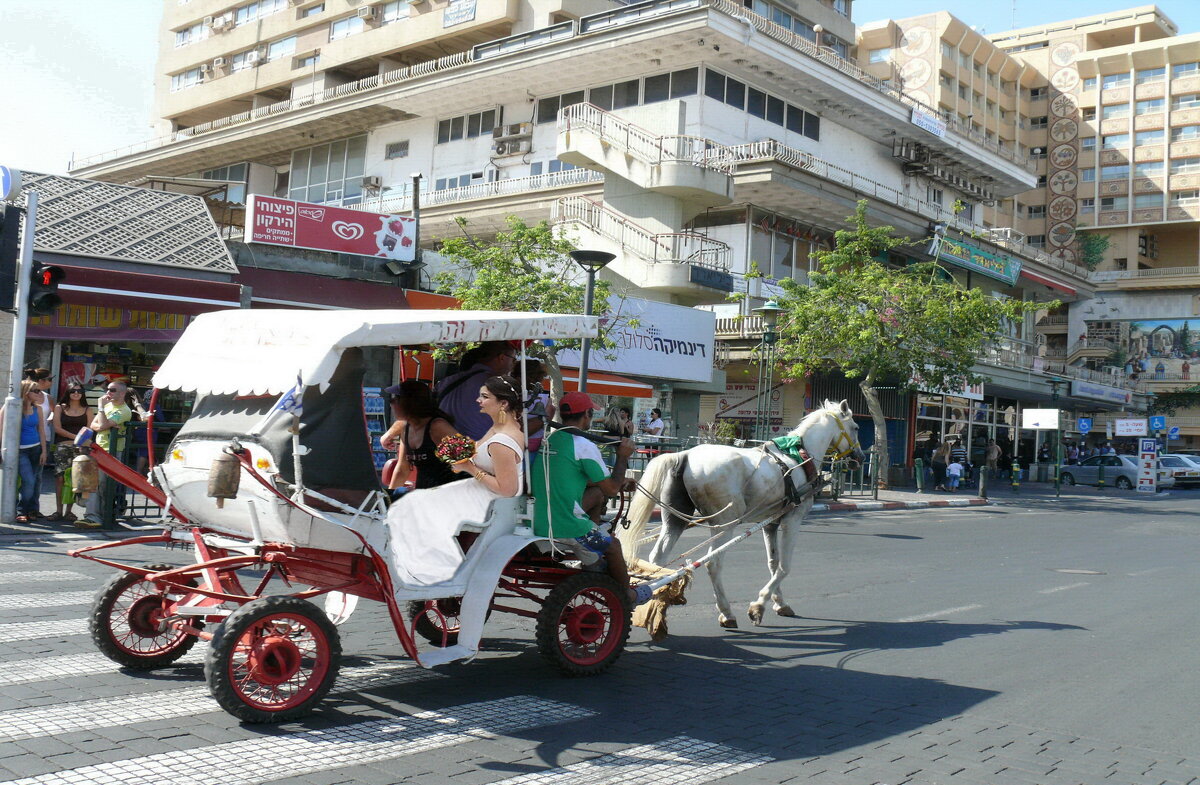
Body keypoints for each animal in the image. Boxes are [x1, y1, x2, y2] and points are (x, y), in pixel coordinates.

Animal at [619, 403, 864, 628]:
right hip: (724, 523)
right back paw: (726, 613)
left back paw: (655, 606)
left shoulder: (770, 523)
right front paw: (758, 606)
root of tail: (685, 454)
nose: (859, 458)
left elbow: (773, 563)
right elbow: (784, 567)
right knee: (713, 563)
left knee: (658, 560)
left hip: (675, 520)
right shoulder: (792, 520)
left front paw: (779, 603)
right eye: (855, 427)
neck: (800, 457)